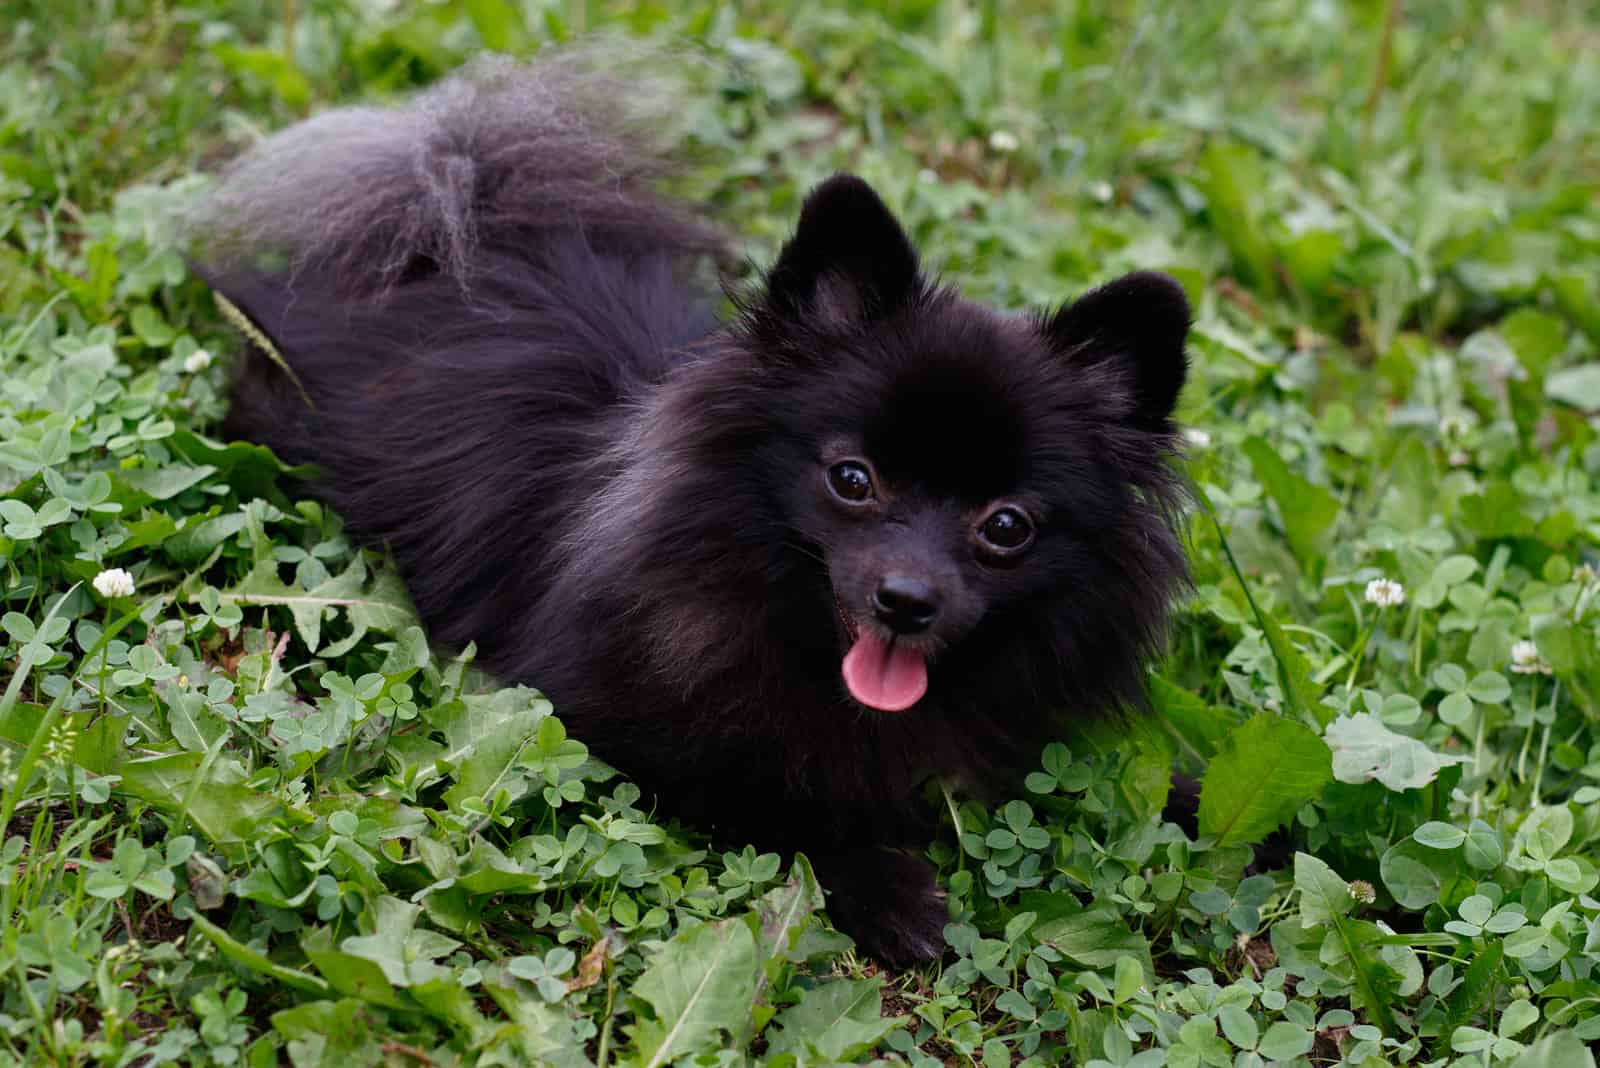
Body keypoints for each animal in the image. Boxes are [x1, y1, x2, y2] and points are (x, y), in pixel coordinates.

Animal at [190, 54, 1190, 965]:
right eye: (853, 479)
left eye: (1006, 528)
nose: (907, 599)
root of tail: (450, 223)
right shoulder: (606, 717)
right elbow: (770, 797)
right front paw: (884, 885)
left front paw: (1189, 797)